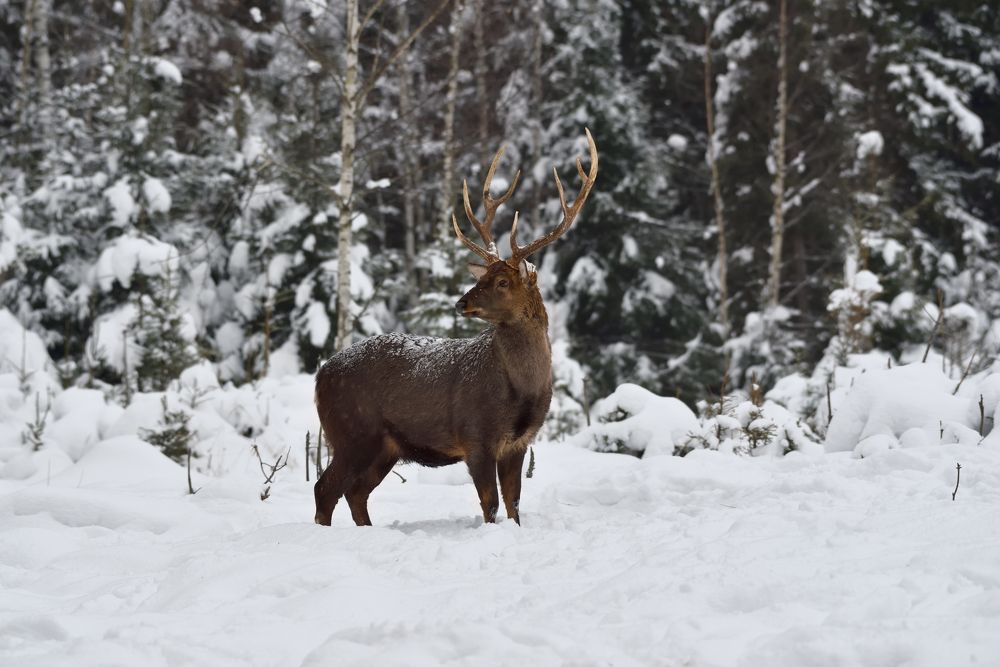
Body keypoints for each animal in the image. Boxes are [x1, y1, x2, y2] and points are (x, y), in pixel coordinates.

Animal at [313, 129, 598, 527]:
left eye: (503, 282)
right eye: (484, 277)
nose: (461, 303)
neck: (522, 388)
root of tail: (320, 376)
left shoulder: (520, 442)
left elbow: (514, 504)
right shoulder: (476, 436)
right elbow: (490, 505)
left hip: (384, 445)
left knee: (354, 492)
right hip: (352, 430)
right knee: (325, 489)